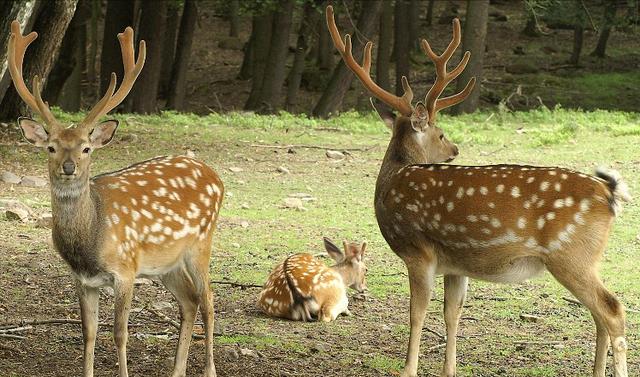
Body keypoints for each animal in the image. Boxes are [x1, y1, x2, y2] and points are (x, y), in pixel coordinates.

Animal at [6, 20, 222, 376]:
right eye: (51, 147)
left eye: (86, 148)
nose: (68, 167)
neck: (91, 240)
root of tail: (214, 175)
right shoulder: (84, 279)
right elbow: (89, 332)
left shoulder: (126, 269)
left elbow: (120, 333)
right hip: (167, 264)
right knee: (189, 302)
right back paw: (176, 370)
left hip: (201, 245)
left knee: (209, 301)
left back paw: (209, 370)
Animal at [328, 5, 628, 376]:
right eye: (442, 134)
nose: (454, 149)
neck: (392, 182)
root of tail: (609, 192)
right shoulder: (456, 265)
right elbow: (452, 314)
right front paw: (449, 369)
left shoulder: (418, 250)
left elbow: (416, 313)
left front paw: (408, 369)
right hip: (587, 258)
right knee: (599, 314)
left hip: (570, 254)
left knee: (612, 310)